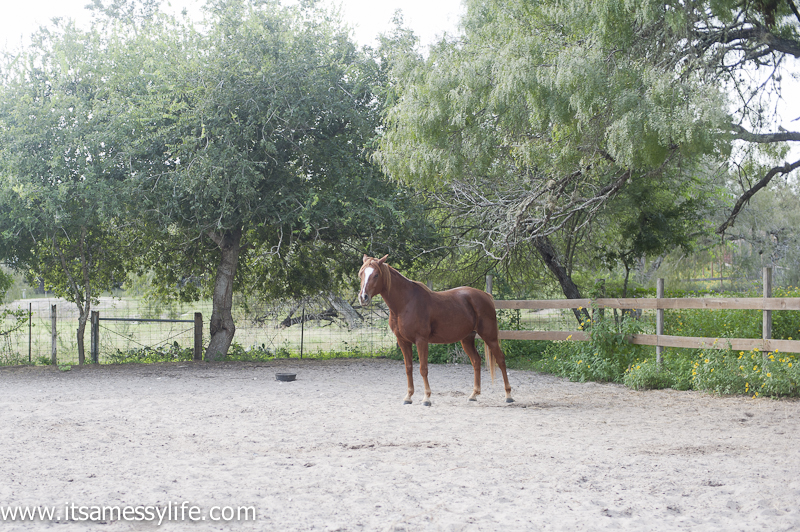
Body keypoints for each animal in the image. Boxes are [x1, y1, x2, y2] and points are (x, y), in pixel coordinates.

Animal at [358, 254, 514, 406]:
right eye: (361, 274)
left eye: (376, 274)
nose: (363, 297)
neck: (406, 303)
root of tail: (485, 296)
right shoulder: (403, 341)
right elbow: (408, 368)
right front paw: (408, 396)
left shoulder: (421, 341)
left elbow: (423, 368)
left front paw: (426, 398)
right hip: (467, 339)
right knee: (476, 361)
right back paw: (473, 395)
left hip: (490, 337)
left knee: (501, 360)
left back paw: (508, 395)